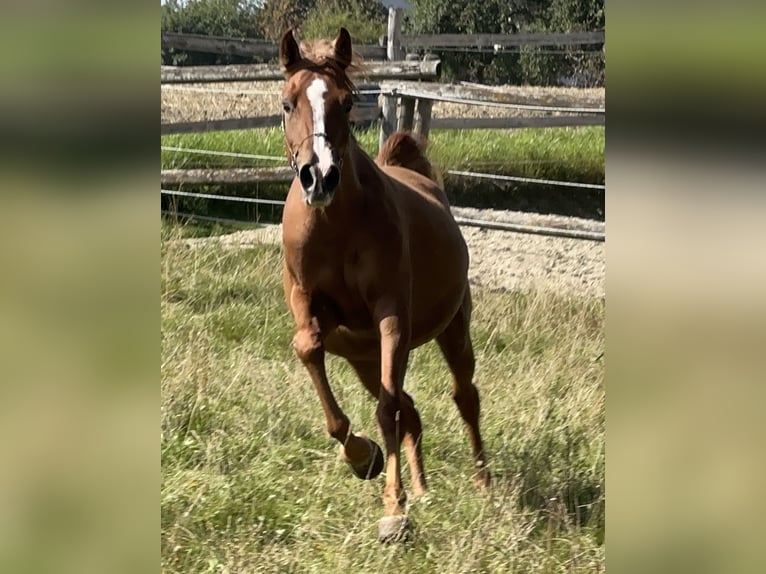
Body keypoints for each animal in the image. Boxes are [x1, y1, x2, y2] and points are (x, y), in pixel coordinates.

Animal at [278, 27, 490, 542]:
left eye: (348, 101)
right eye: (287, 104)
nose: (319, 177)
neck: (336, 226)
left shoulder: (391, 315)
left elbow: (388, 409)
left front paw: (393, 509)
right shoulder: (309, 305)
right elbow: (309, 349)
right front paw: (362, 457)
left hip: (451, 331)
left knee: (463, 397)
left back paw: (483, 486)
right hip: (362, 358)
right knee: (410, 408)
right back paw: (422, 489)